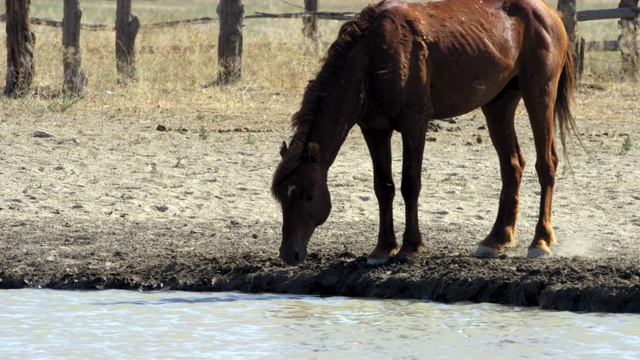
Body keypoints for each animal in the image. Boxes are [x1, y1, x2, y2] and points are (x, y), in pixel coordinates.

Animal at [270, 0, 576, 264]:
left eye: (309, 195)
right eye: (281, 195)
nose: (289, 254)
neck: (373, 55)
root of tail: (549, 13)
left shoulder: (414, 123)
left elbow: (410, 184)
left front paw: (409, 248)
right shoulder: (374, 129)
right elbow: (384, 187)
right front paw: (383, 248)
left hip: (539, 95)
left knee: (546, 163)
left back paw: (540, 242)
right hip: (498, 104)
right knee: (512, 165)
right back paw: (495, 240)